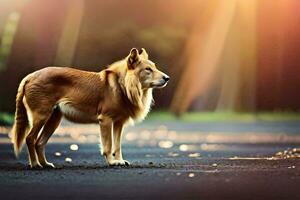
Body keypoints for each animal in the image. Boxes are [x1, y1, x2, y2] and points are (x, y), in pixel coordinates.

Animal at [11, 48, 169, 169]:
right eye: (148, 70)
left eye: (155, 67)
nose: (167, 78)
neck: (122, 85)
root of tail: (30, 76)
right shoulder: (105, 120)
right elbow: (108, 145)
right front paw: (112, 162)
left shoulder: (119, 123)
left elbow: (117, 146)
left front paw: (119, 160)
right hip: (42, 116)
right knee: (30, 139)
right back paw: (35, 164)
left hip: (53, 119)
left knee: (39, 142)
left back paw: (45, 164)